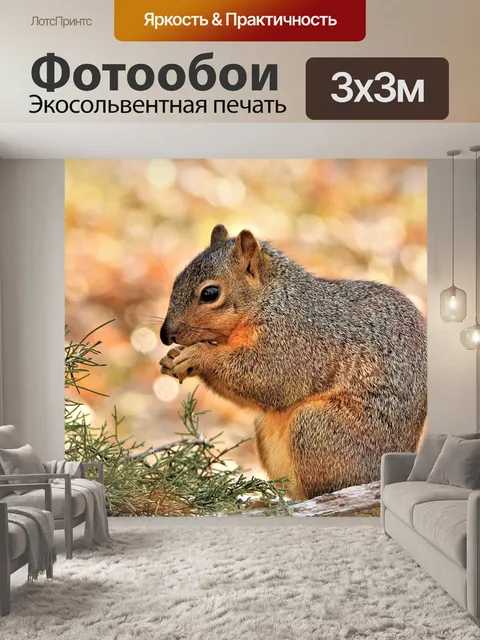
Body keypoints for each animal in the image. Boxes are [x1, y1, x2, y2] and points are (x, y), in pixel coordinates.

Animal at [159, 224, 427, 500]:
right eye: (177, 280)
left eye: (210, 293)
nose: (165, 335)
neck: (271, 300)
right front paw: (171, 358)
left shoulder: (291, 342)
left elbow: (267, 378)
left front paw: (198, 356)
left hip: (317, 429)